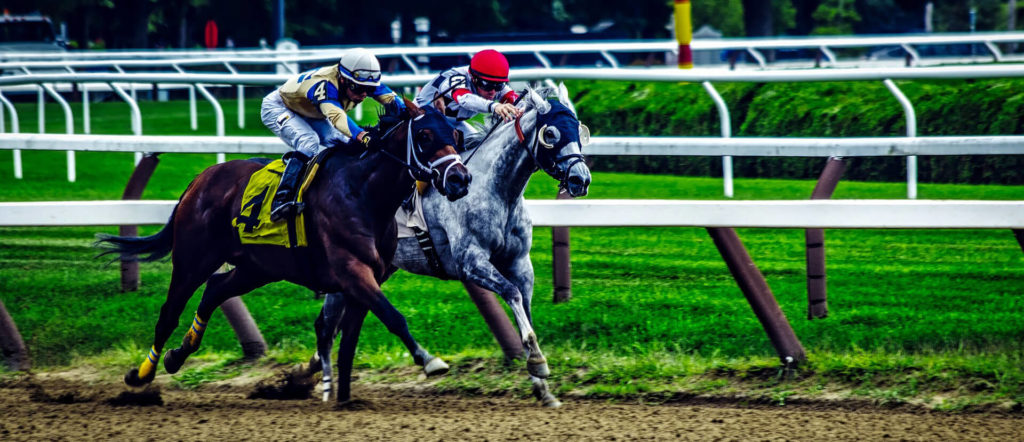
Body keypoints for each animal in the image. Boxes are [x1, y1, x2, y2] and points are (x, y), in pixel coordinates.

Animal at [94, 100, 468, 392]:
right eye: (424, 136)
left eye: (455, 136)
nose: (460, 179)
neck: (363, 192)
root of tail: (199, 180)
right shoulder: (352, 271)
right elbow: (393, 317)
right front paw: (429, 360)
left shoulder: (369, 275)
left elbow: (350, 335)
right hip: (193, 260)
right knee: (169, 312)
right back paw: (142, 373)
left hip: (257, 267)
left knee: (215, 290)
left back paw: (177, 355)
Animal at [313, 85, 593, 407]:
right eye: (551, 134)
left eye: (579, 130)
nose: (580, 179)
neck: (495, 189)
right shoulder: (471, 262)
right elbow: (511, 293)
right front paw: (537, 362)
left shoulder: (520, 262)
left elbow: (525, 306)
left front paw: (543, 387)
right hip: (348, 268)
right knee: (326, 327)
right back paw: (321, 385)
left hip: (373, 273)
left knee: (332, 324)